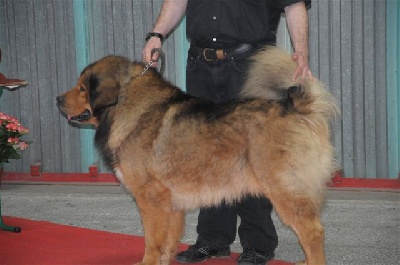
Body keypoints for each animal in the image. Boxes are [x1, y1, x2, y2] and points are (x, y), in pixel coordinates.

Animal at [56, 46, 338, 262]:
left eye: (82, 88)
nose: (58, 99)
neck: (127, 105)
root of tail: (297, 108)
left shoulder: (150, 198)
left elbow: (152, 241)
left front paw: (147, 262)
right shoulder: (171, 202)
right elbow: (168, 241)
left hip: (285, 190)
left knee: (313, 232)